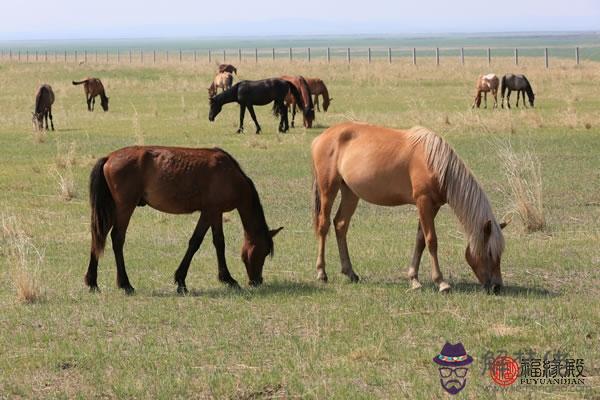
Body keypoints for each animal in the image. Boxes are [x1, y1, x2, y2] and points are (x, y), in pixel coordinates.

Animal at [85, 145, 284, 294]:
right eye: (264, 251)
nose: (257, 281)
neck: (230, 175)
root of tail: (109, 157)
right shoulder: (208, 212)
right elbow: (195, 242)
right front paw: (181, 281)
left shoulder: (216, 213)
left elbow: (219, 242)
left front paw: (227, 278)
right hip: (125, 207)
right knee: (117, 239)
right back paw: (125, 284)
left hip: (113, 208)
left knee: (98, 236)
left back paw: (92, 282)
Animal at [312, 122, 508, 294]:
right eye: (490, 253)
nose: (497, 287)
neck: (436, 163)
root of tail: (320, 138)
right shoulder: (423, 202)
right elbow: (431, 240)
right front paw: (441, 283)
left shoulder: (433, 206)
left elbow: (420, 240)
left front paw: (414, 279)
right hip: (328, 189)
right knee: (324, 225)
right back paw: (321, 273)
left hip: (350, 192)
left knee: (341, 224)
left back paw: (350, 272)